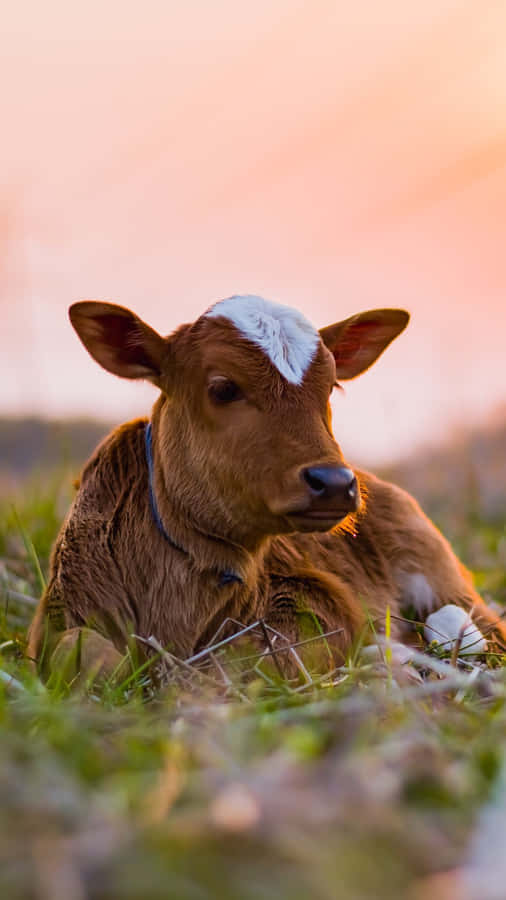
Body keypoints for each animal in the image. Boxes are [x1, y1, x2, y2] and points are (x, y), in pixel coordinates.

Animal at [28, 295, 505, 684]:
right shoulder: (59, 613)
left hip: (436, 566)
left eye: (331, 386)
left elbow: (253, 656)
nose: (335, 483)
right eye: (223, 388)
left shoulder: (316, 597)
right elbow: (84, 652)